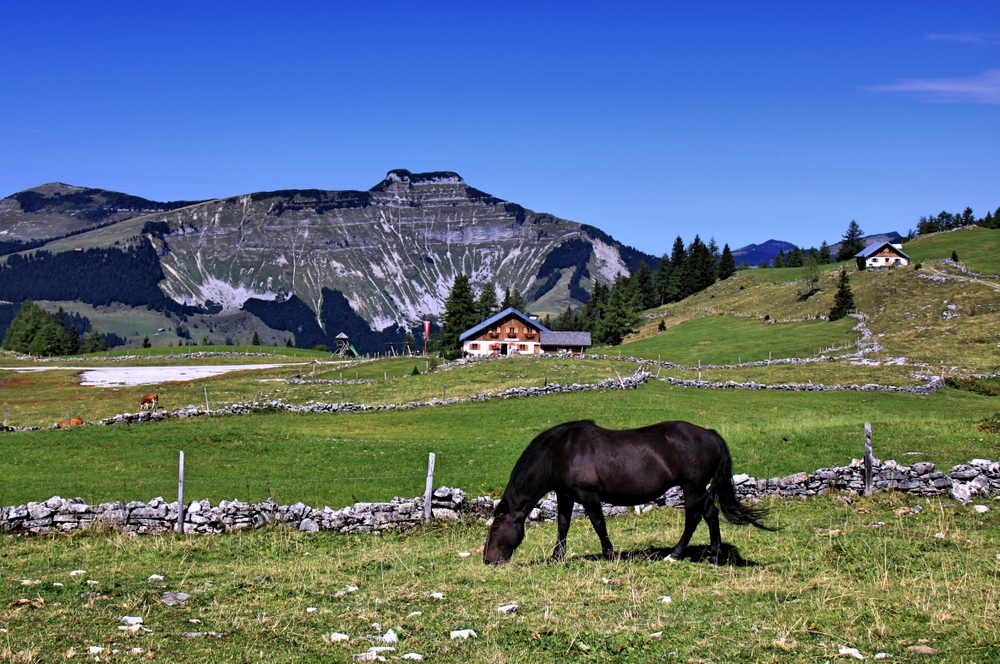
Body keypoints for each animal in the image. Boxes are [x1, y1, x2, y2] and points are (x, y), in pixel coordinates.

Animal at [484, 420, 772, 564]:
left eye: (495, 528)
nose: (488, 560)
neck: (560, 453)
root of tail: (710, 434)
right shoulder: (565, 496)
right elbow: (562, 526)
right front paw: (557, 557)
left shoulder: (589, 496)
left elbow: (599, 525)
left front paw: (609, 555)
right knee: (706, 515)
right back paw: (710, 554)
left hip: (694, 487)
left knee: (699, 516)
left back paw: (685, 555)